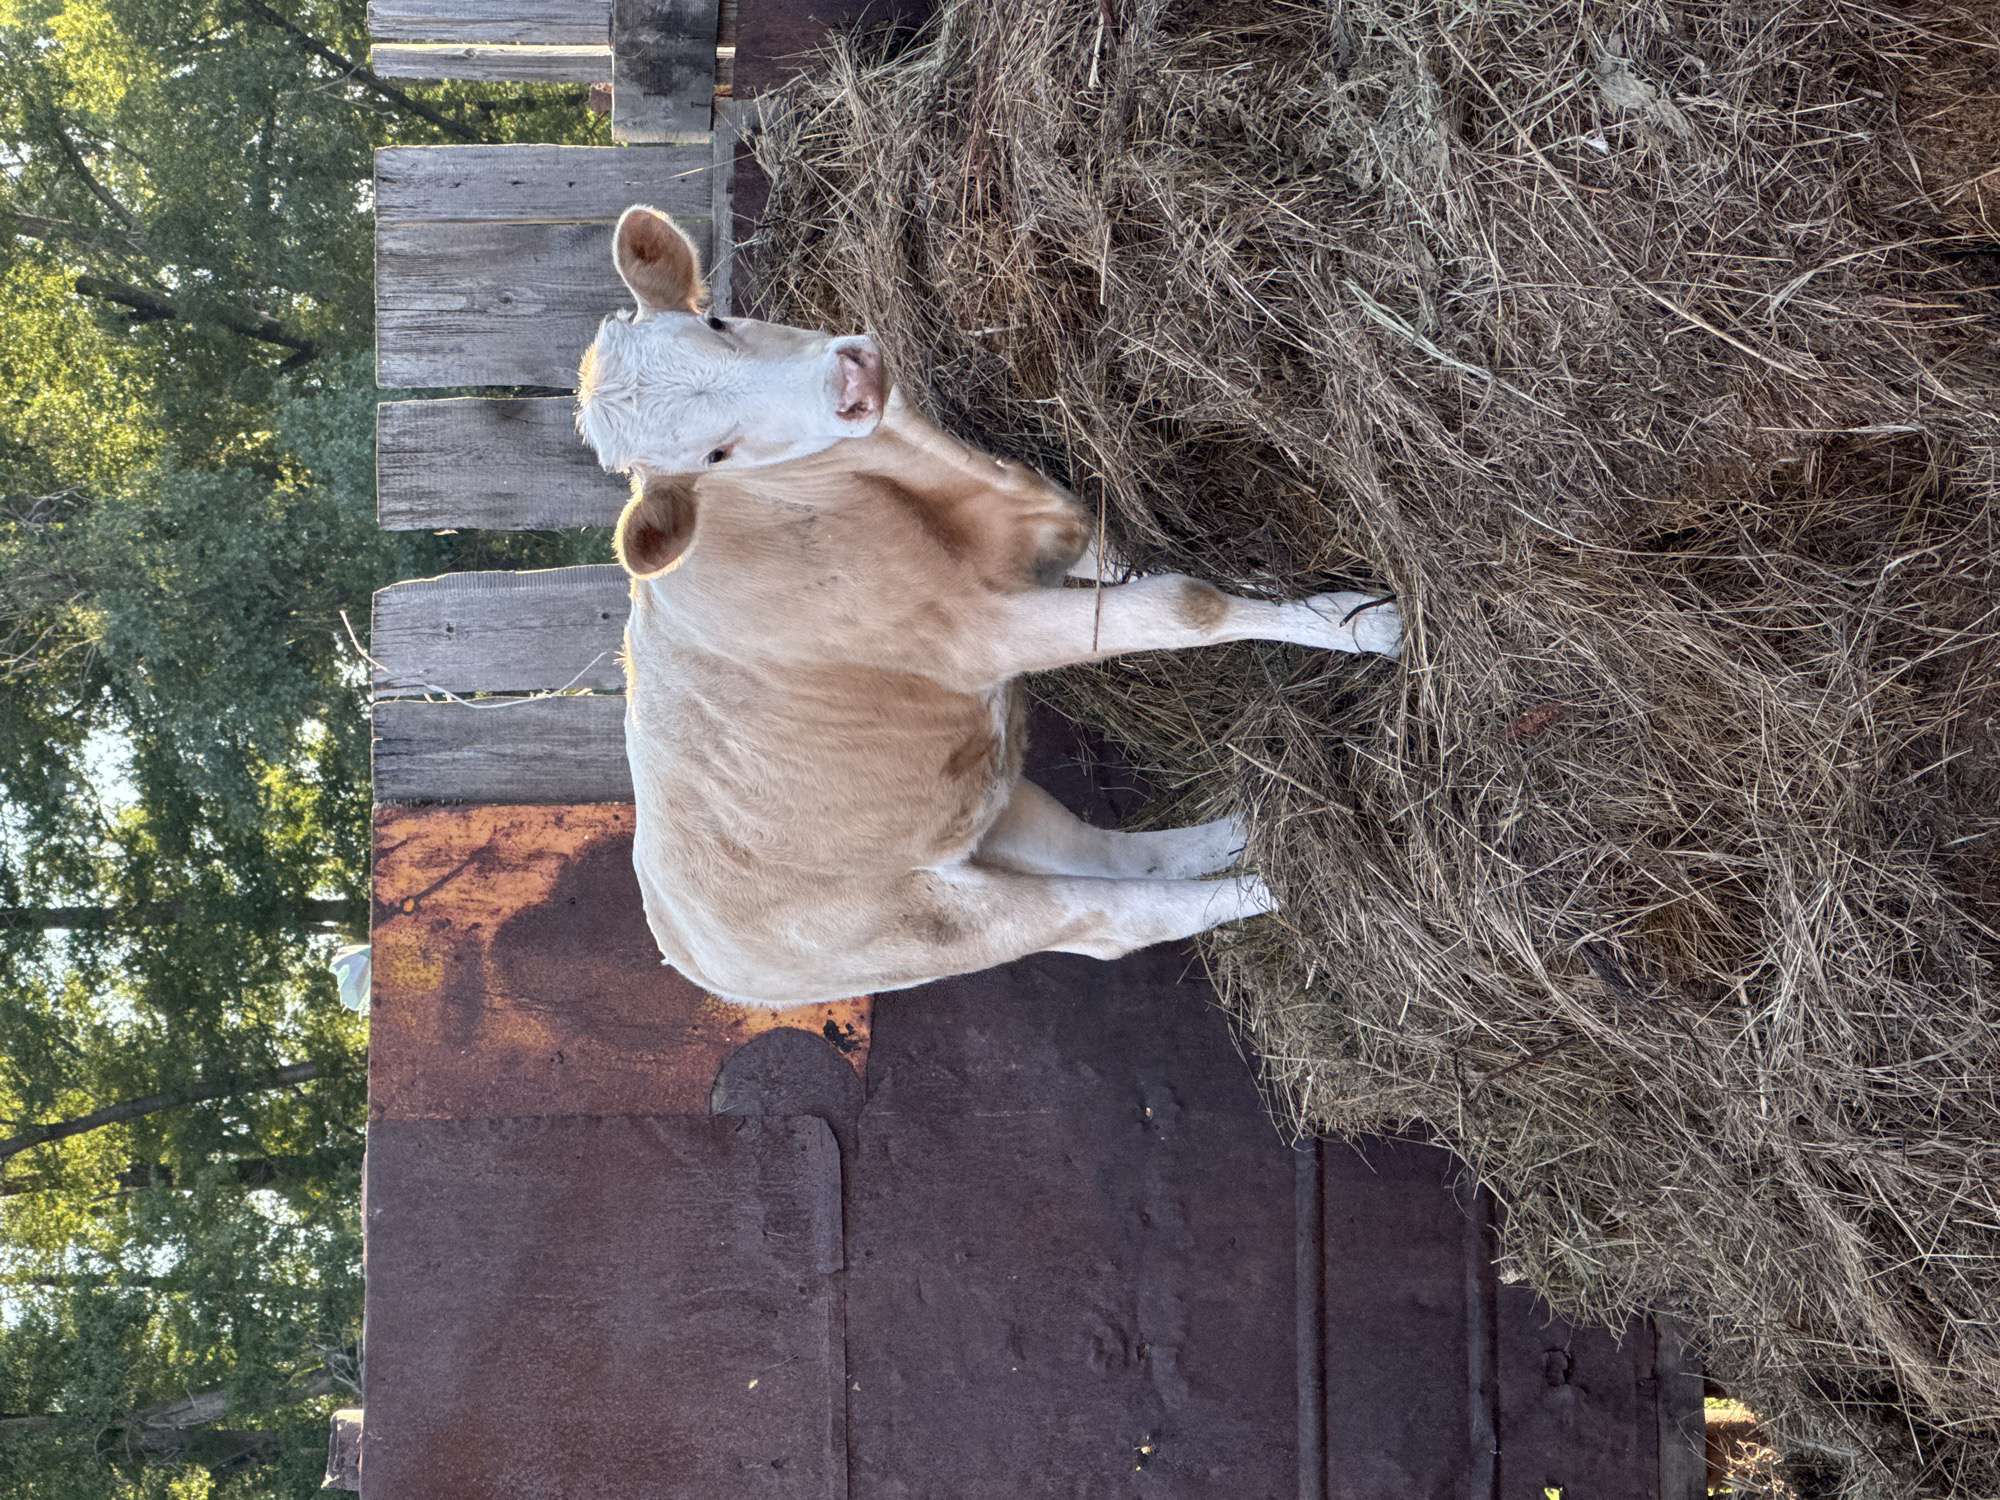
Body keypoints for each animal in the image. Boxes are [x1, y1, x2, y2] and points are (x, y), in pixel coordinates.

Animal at [576, 206, 1402, 1006]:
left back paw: (1254, 828)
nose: (852, 381)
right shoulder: (978, 635)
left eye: (717, 322)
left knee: (1114, 855)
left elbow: (1149, 571)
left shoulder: (1037, 544)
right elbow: (1184, 605)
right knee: (1112, 918)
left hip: (991, 803)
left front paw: (1345, 615)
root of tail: (687, 948)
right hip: (934, 923)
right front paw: (1373, 627)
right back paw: (1297, 884)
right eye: (715, 455)